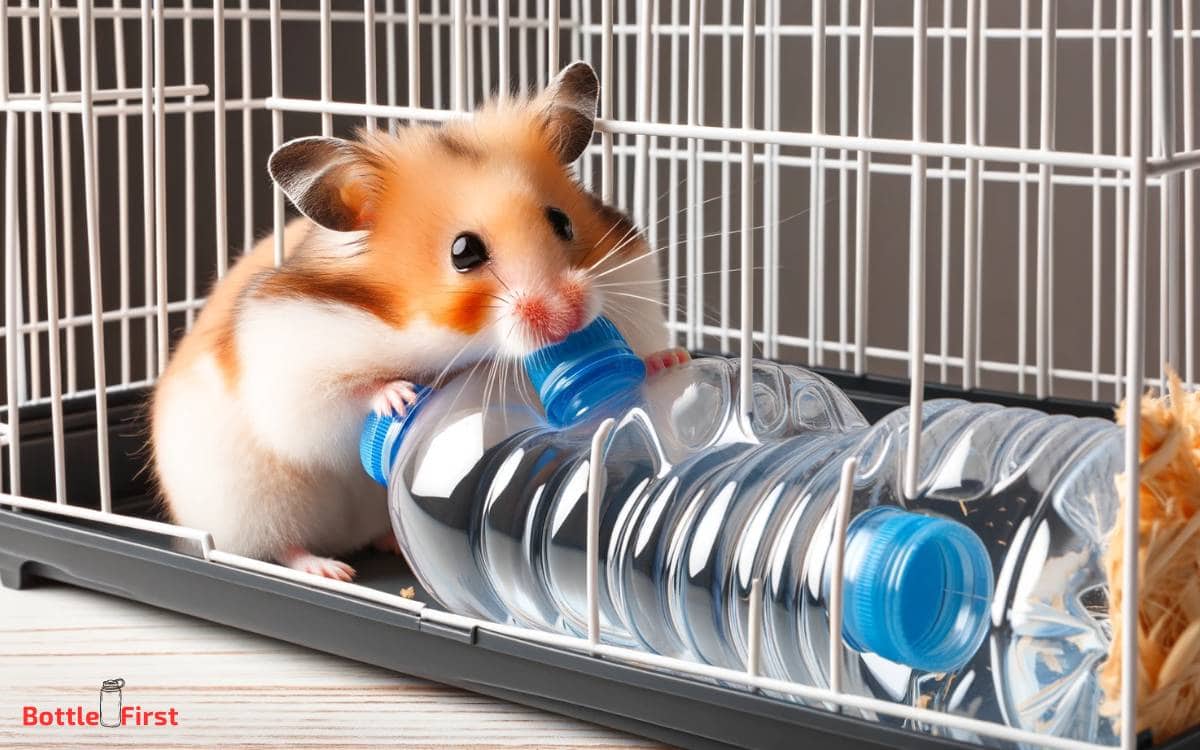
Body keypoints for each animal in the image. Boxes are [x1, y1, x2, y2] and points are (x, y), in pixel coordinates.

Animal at [150, 61, 687, 581]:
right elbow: (341, 401)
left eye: (562, 221)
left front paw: (668, 359)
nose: (568, 318)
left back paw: (389, 543)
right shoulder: (292, 363)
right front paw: (400, 396)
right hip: (254, 506)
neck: (448, 339)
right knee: (280, 546)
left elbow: (642, 346)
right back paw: (333, 570)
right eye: (463, 252)